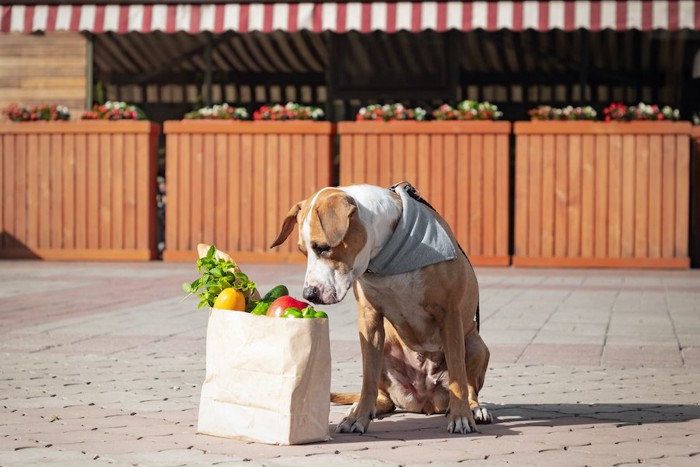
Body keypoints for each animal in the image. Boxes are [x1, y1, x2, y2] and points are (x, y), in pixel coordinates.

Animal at [270, 183, 490, 436]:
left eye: (323, 248)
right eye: (303, 251)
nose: (309, 294)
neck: (386, 258)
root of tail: (425, 401)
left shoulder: (449, 314)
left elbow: (458, 375)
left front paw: (461, 416)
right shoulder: (370, 320)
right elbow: (368, 380)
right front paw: (358, 418)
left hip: (475, 343)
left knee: (469, 384)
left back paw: (474, 408)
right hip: (385, 347)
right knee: (383, 394)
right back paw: (362, 407)